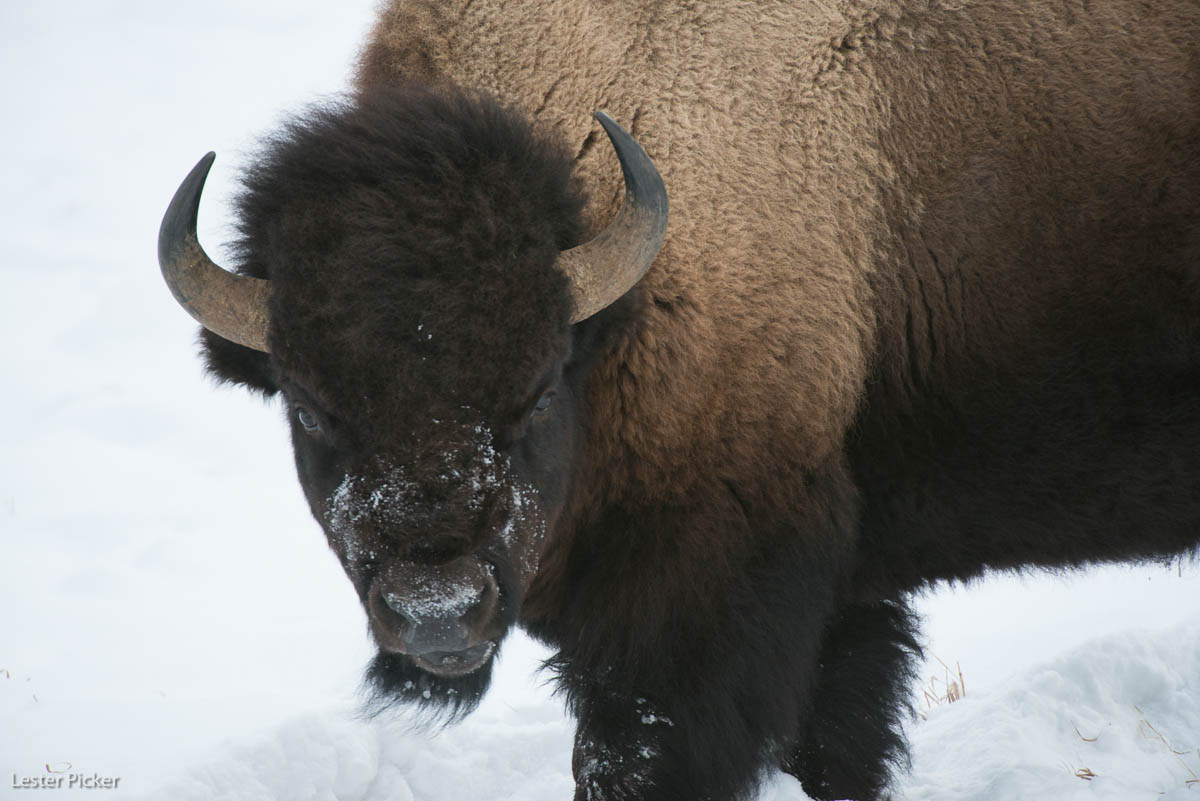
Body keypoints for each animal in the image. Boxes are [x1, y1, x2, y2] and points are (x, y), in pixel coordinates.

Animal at [159, 1, 1200, 801]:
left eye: (538, 392)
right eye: (311, 408)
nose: (438, 613)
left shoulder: (699, 608)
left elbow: (635, 756)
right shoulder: (840, 596)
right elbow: (833, 745)